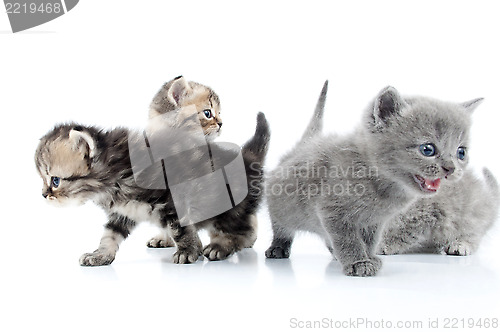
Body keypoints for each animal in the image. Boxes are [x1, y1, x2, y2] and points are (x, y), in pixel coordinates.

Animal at [34, 113, 270, 264]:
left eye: (55, 181)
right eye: (44, 180)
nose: (44, 194)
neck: (114, 176)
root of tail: (246, 159)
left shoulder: (173, 197)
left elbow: (181, 227)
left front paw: (188, 251)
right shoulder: (123, 212)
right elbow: (110, 235)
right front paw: (100, 255)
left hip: (224, 203)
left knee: (241, 229)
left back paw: (221, 246)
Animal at [266, 84, 480, 276]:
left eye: (461, 152)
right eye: (427, 149)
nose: (451, 169)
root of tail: (303, 145)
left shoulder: (374, 221)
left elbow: (369, 240)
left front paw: (368, 257)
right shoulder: (332, 212)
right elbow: (347, 239)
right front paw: (358, 262)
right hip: (282, 208)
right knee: (281, 228)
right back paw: (278, 248)